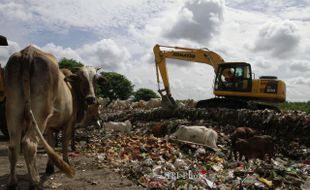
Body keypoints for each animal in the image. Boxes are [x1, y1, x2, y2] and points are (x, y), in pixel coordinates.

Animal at [4, 45, 97, 189]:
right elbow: (64, 142)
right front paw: (66, 161)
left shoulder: (50, 126)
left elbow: (52, 144)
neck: (72, 88)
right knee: (29, 144)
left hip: (13, 110)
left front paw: (50, 167)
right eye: (81, 78)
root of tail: (28, 52)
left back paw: (13, 182)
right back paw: (34, 182)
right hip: (40, 113)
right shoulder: (68, 122)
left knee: (14, 146)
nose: (91, 98)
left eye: (95, 79)